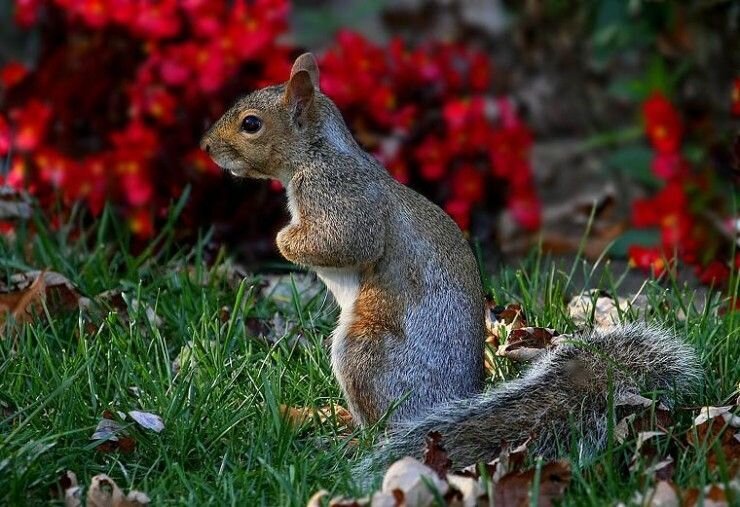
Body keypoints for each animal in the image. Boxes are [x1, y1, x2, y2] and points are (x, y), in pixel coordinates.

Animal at [201, 55, 700, 476]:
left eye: (251, 124)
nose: (206, 147)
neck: (317, 153)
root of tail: (440, 408)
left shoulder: (339, 196)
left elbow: (346, 241)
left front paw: (282, 239)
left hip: (365, 353)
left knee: (377, 422)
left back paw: (349, 435)